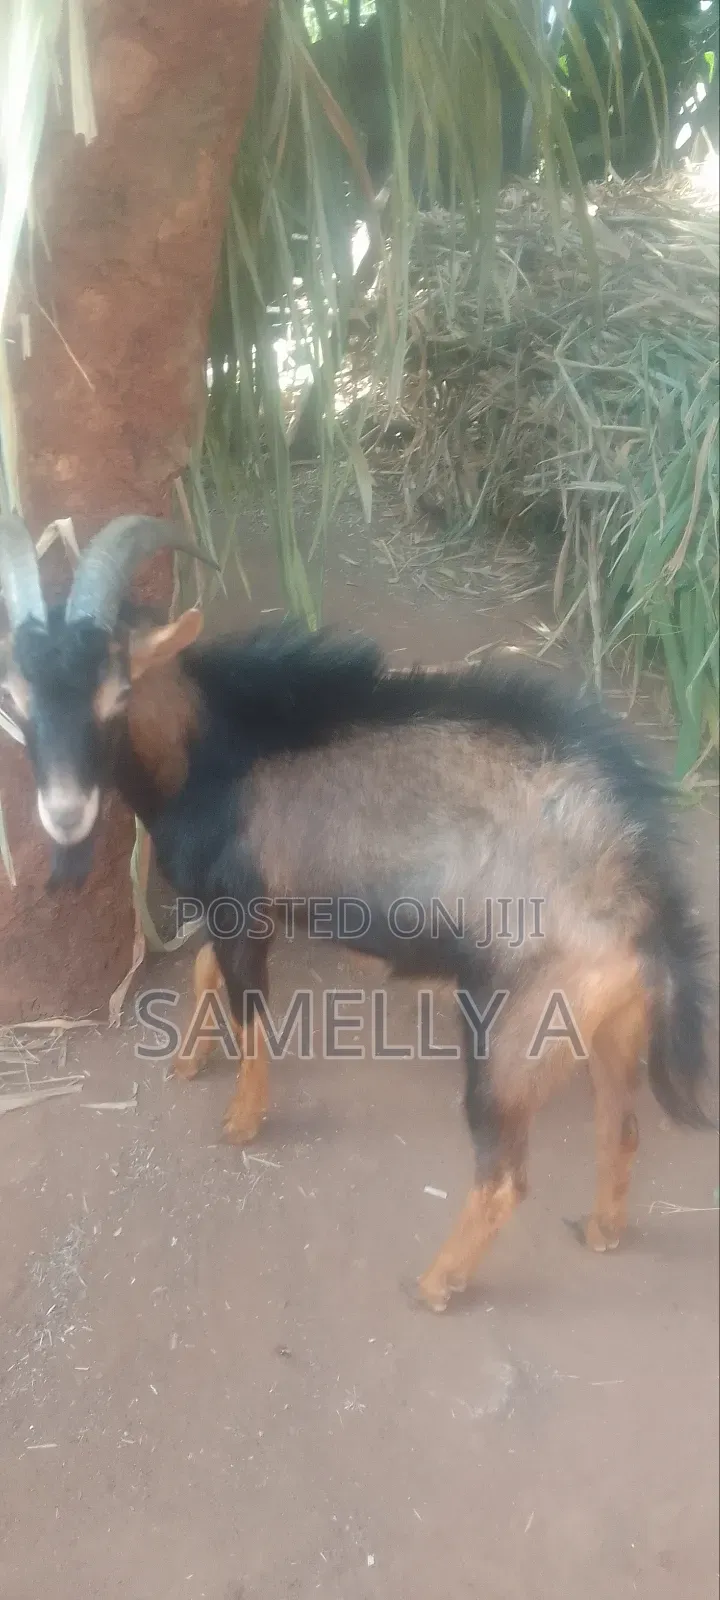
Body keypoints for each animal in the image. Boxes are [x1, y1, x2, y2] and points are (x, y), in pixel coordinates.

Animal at [1, 514, 713, 1311]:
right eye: (15, 695)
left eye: (116, 692)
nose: (65, 815)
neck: (212, 750)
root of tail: (638, 878)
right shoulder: (234, 907)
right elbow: (204, 974)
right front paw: (188, 1060)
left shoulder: (241, 908)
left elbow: (248, 1011)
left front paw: (242, 1121)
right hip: (613, 1023)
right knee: (620, 1131)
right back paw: (601, 1231)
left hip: (515, 1028)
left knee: (504, 1176)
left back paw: (436, 1285)